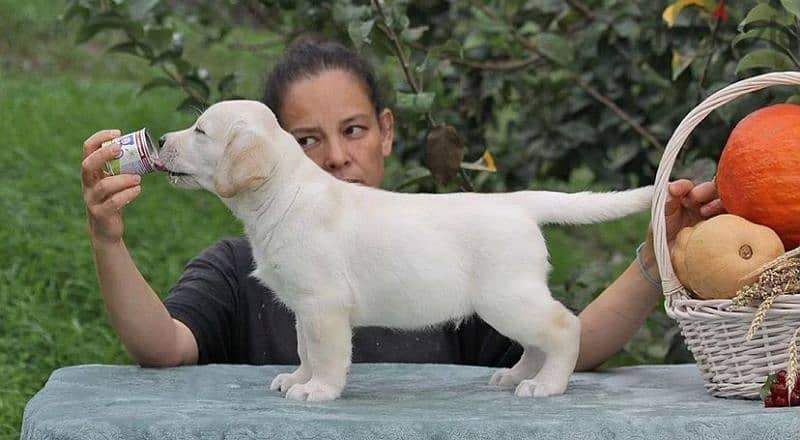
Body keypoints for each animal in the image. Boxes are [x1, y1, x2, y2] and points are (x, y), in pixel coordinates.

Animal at [158, 99, 656, 402]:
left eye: (200, 131)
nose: (160, 140)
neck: (283, 192)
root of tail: (518, 202)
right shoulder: (304, 306)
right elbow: (303, 348)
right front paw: (297, 378)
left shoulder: (324, 304)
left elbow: (325, 353)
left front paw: (319, 389)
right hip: (509, 301)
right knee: (538, 340)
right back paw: (519, 376)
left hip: (507, 296)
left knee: (565, 326)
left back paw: (548, 385)